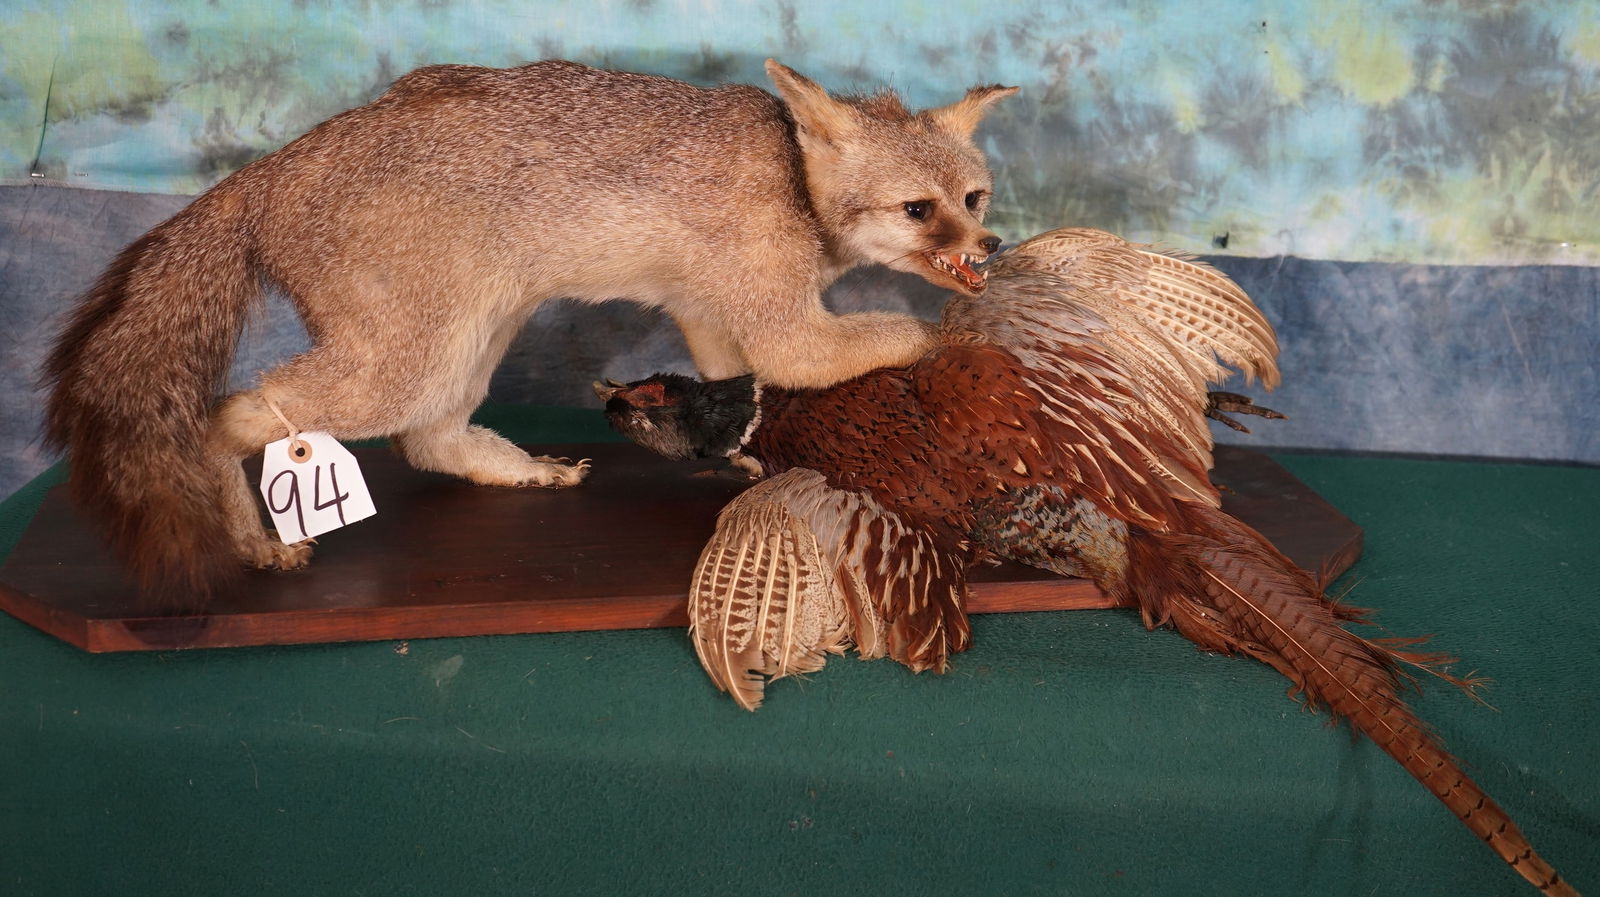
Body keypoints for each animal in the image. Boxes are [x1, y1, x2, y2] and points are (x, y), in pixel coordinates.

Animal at [40, 59, 1017, 605]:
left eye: (975, 198)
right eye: (919, 210)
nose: (992, 248)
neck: (790, 175)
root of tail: (268, 169)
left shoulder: (708, 310)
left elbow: (739, 388)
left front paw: (747, 451)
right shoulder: (785, 323)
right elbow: (895, 333)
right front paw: (962, 345)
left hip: (464, 346)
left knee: (430, 442)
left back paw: (525, 471)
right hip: (393, 369)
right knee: (229, 417)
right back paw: (253, 542)